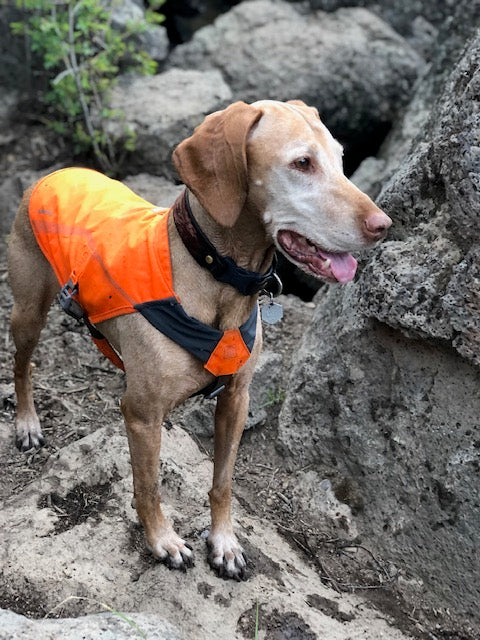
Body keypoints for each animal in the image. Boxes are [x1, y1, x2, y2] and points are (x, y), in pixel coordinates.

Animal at [6, 99, 390, 580]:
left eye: (341, 159)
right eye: (302, 163)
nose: (384, 224)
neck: (217, 274)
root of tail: (57, 172)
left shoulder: (236, 400)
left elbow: (223, 482)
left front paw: (224, 542)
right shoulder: (142, 414)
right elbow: (148, 485)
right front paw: (162, 541)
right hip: (28, 310)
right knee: (22, 365)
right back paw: (27, 423)